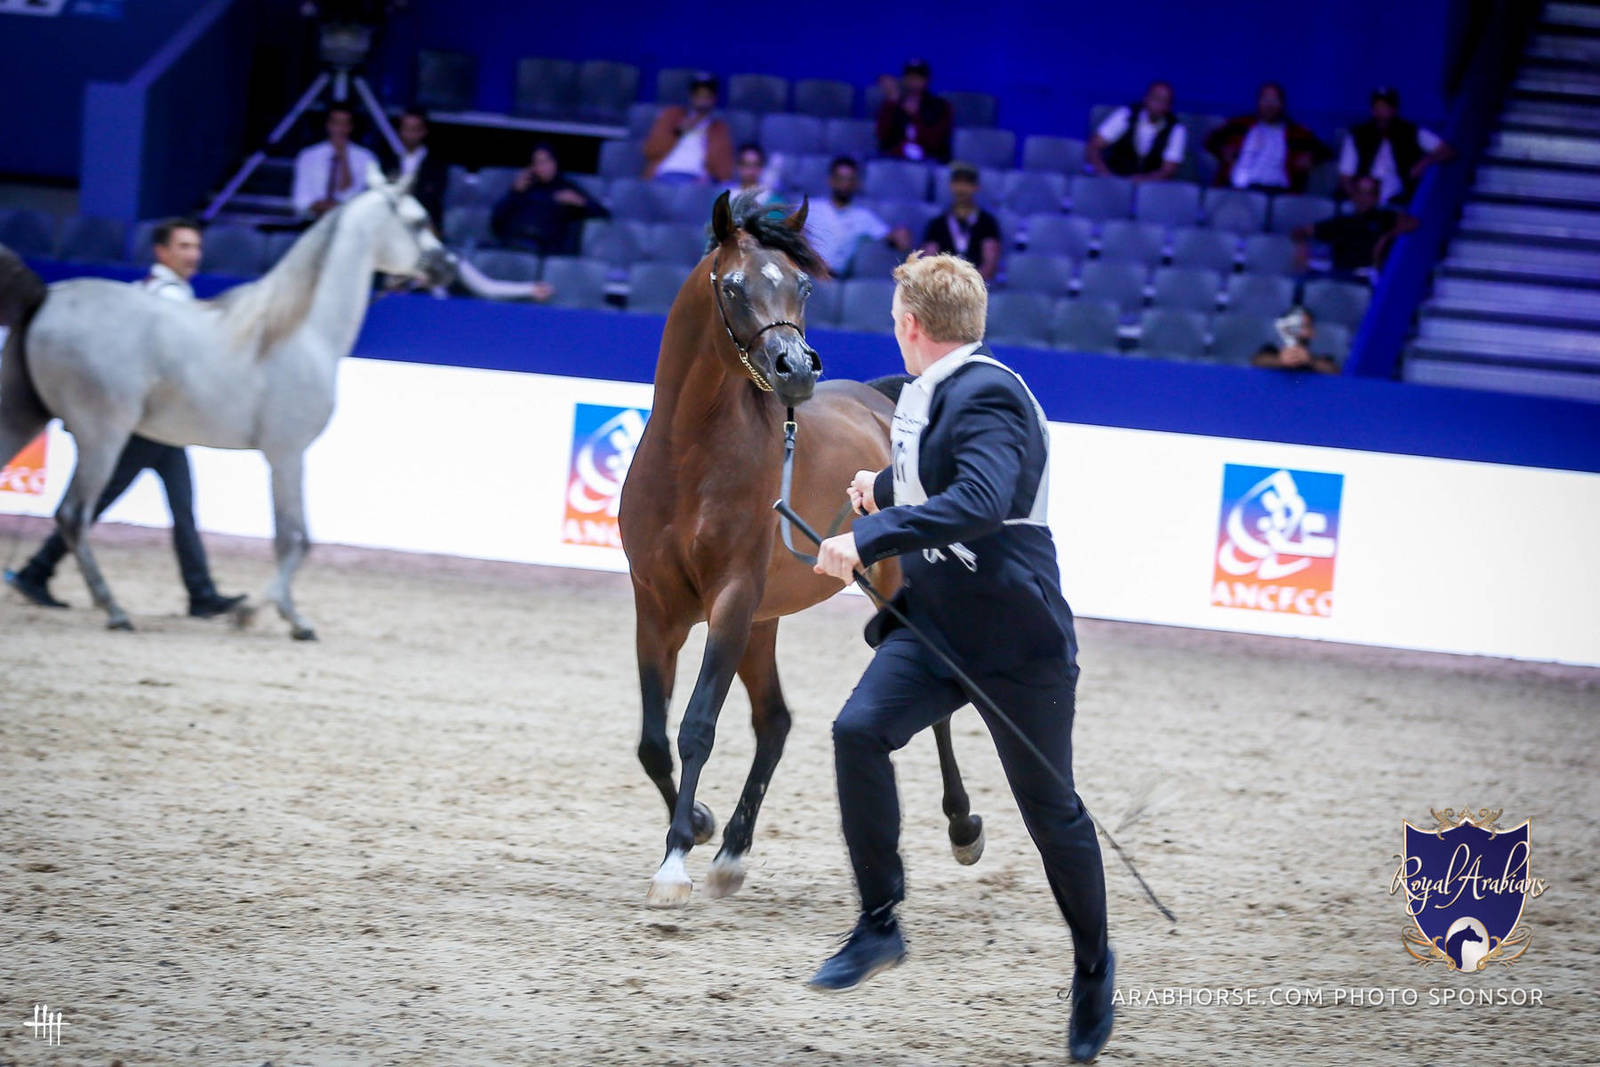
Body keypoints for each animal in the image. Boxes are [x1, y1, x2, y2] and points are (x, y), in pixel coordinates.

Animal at [0, 166, 454, 638]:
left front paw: (257, 610)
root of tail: (46, 298)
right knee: (74, 515)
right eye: (420, 221)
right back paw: (115, 611)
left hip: (23, 417)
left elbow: (289, 538)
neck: (299, 331)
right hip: (101, 436)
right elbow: (294, 539)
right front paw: (275, 616)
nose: (448, 267)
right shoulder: (287, 454)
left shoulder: (284, 457)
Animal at [619, 190, 984, 907]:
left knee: (932, 695)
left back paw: (962, 827)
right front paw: (698, 825)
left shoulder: (730, 601)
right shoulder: (658, 607)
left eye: (804, 285)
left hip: (869, 599)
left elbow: (696, 726)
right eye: (733, 285)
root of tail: (880, 402)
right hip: (763, 624)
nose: (793, 369)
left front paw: (674, 861)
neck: (689, 462)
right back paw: (731, 850)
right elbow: (653, 741)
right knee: (776, 721)